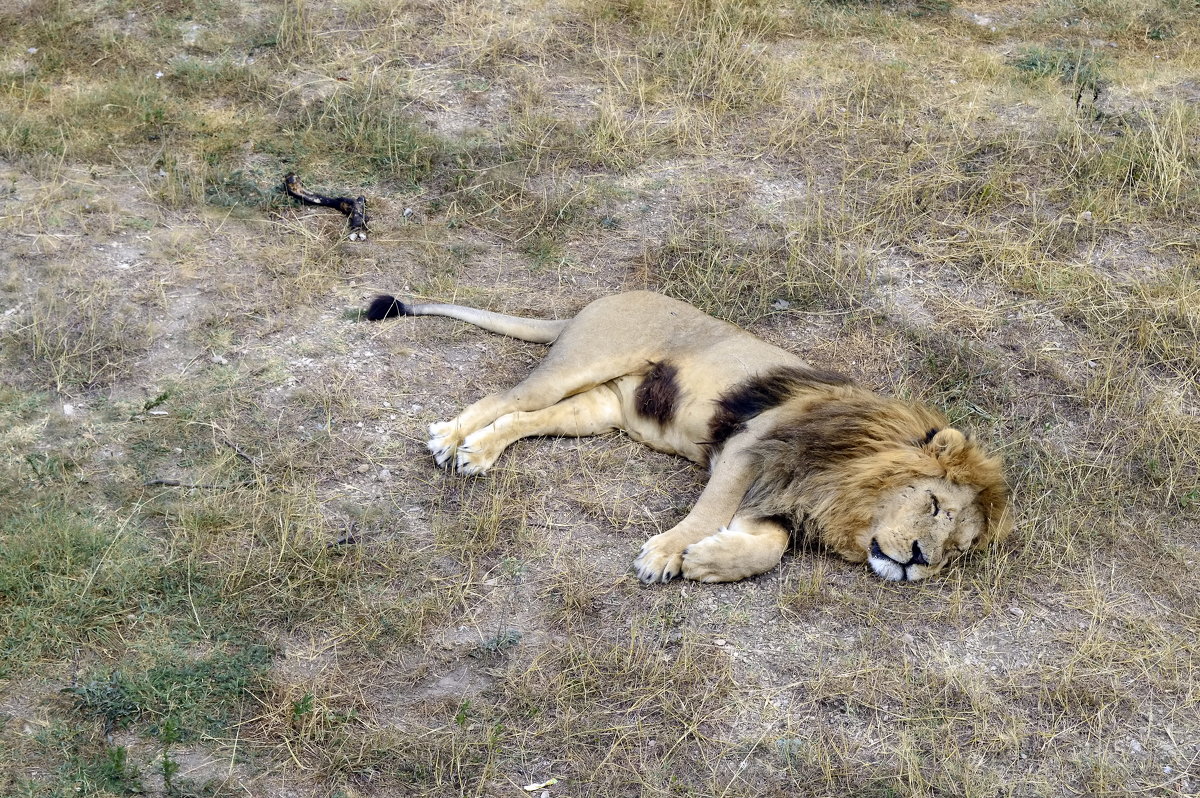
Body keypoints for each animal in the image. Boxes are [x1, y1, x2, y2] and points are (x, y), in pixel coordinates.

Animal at [367, 289, 1012, 583]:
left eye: (956, 551)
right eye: (933, 505)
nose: (921, 560)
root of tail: (597, 302)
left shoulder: (781, 500)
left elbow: (768, 546)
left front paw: (707, 562)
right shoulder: (751, 449)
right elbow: (709, 510)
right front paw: (667, 554)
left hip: (601, 408)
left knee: (522, 421)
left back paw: (478, 452)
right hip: (581, 362)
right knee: (503, 400)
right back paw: (450, 438)